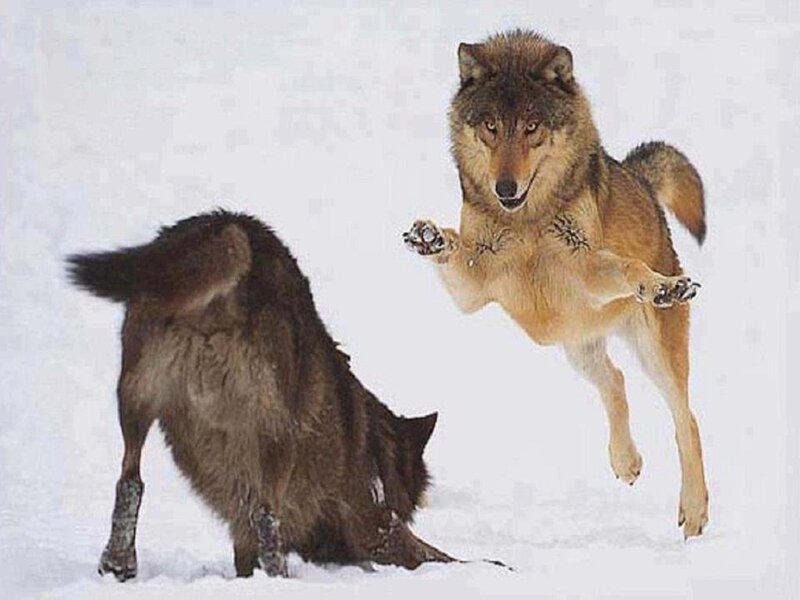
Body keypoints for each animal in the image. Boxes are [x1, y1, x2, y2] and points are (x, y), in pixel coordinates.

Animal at [67, 210, 452, 581]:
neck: (376, 450)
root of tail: (232, 226)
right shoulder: (374, 528)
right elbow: (434, 554)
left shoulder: (242, 522)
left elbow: (243, 552)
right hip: (276, 432)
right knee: (266, 516)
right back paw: (280, 579)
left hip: (136, 397)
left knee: (129, 481)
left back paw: (118, 563)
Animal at [404, 30, 709, 538]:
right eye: (491, 126)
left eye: (531, 127)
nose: (505, 188)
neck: (526, 222)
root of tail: (640, 179)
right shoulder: (473, 289)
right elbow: (453, 246)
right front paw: (429, 236)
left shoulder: (586, 272)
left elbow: (629, 270)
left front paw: (659, 286)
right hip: (579, 349)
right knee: (616, 381)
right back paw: (626, 462)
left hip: (654, 352)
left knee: (687, 420)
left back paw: (695, 511)